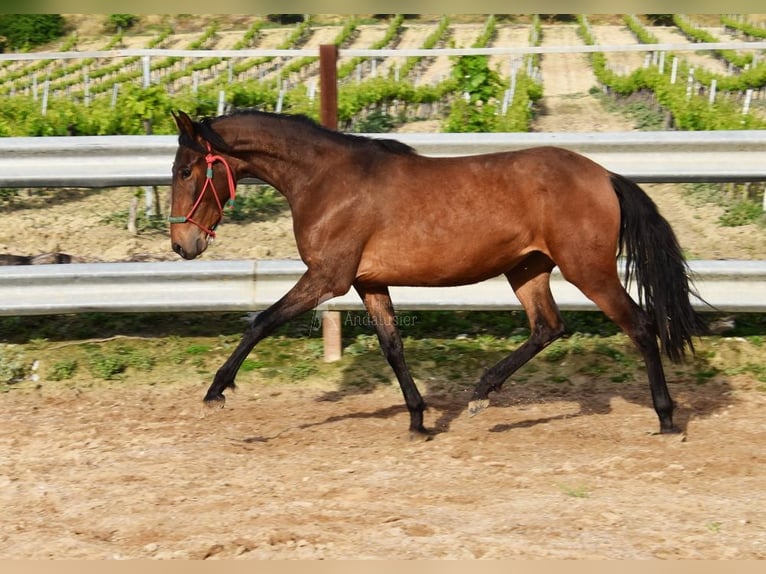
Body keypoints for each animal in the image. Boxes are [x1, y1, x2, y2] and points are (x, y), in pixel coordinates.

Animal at [170, 109, 708, 440]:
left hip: (588, 270)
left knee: (640, 326)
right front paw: (418, 420)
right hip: (527, 269)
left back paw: (666, 418)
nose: (182, 244)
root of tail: (604, 176)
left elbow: (261, 321)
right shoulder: (368, 282)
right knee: (548, 327)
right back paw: (481, 394)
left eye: (185, 171)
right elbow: (392, 347)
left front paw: (216, 393)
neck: (325, 181)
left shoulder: (328, 277)